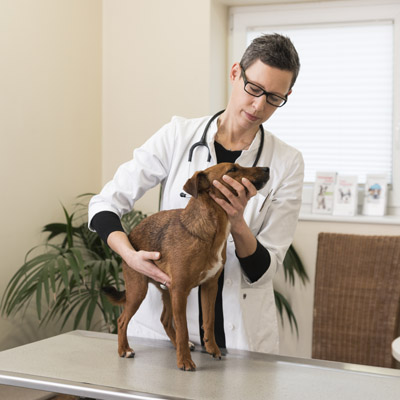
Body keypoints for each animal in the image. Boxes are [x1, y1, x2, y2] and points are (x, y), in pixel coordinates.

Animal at [104, 161, 270, 370]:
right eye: (232, 169)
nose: (267, 169)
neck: (210, 229)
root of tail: (130, 235)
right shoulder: (180, 290)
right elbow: (183, 328)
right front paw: (184, 361)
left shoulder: (209, 287)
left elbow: (208, 321)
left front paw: (212, 348)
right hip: (139, 290)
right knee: (122, 320)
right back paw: (124, 349)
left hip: (167, 291)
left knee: (165, 321)